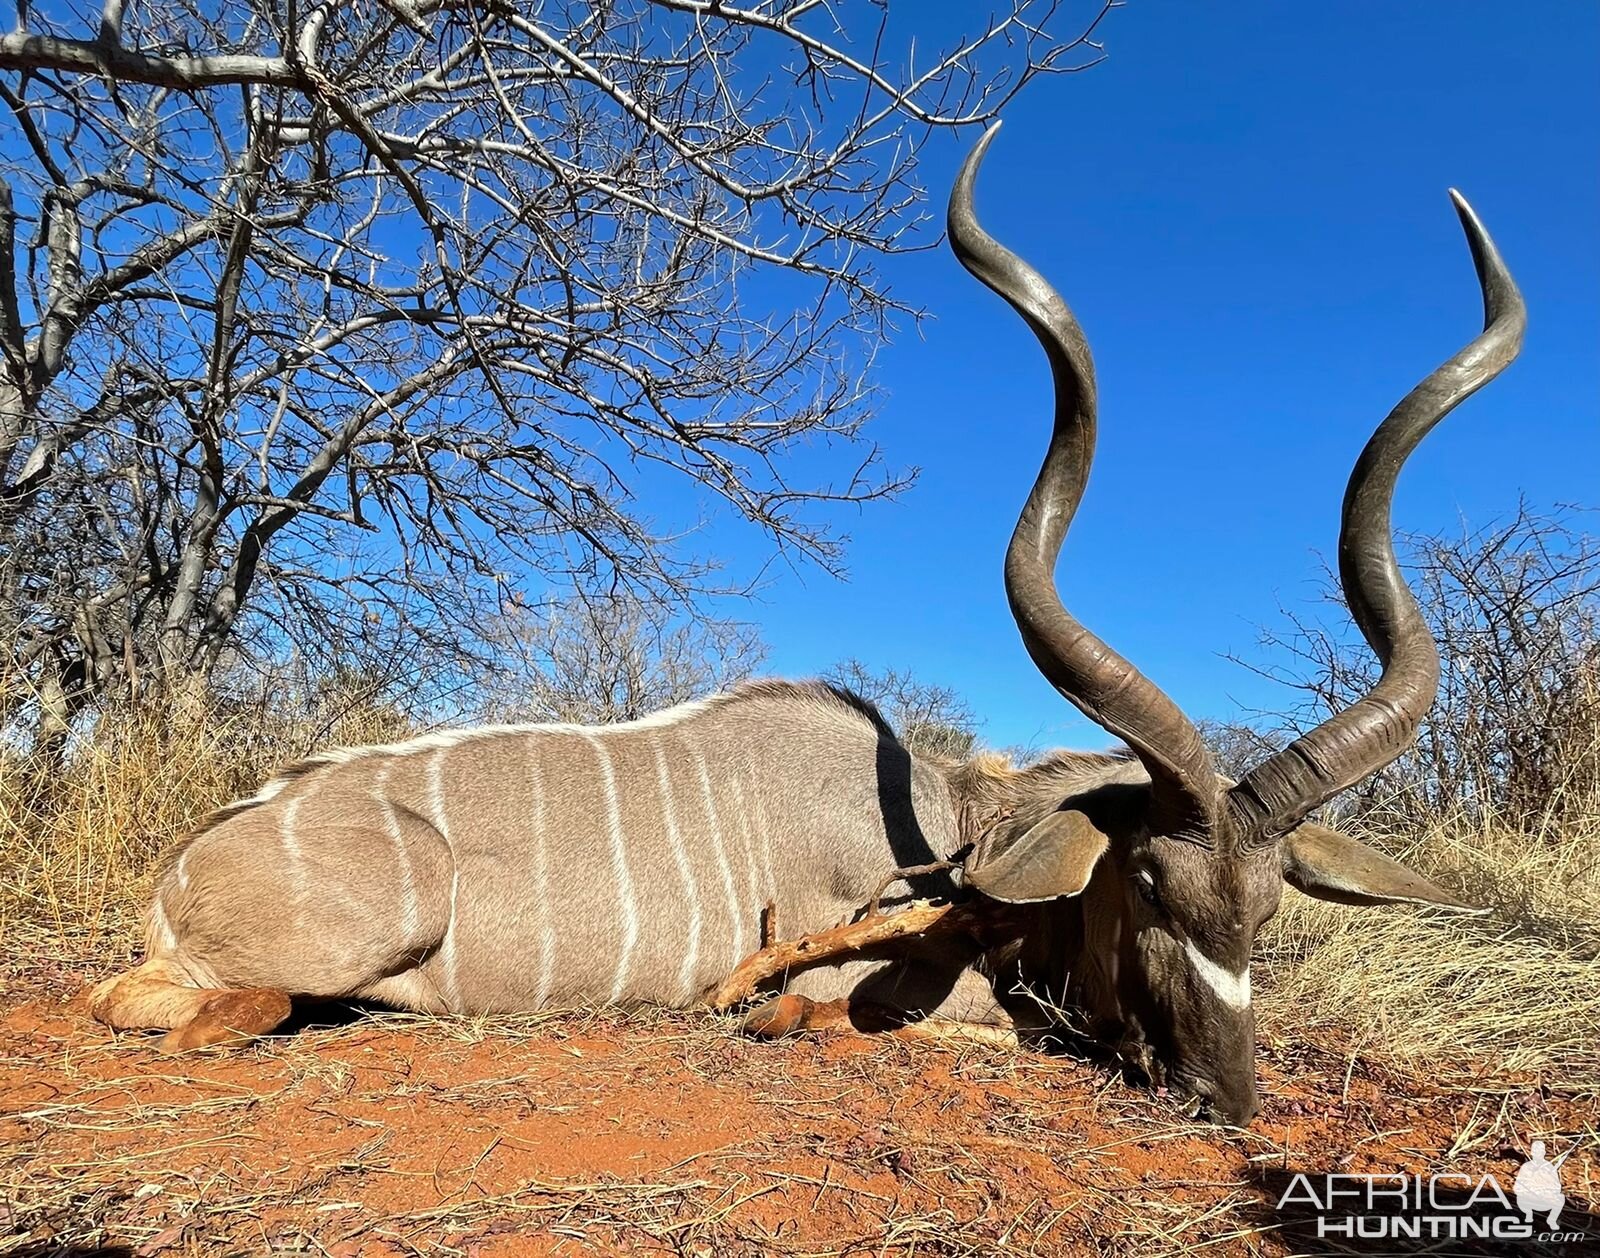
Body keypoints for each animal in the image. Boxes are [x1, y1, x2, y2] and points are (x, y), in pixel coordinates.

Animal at [90, 127, 1523, 1120]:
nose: (1227, 1098)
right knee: (177, 1004)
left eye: (1266, 905)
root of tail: (185, 862)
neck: (957, 834)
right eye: (1151, 884)